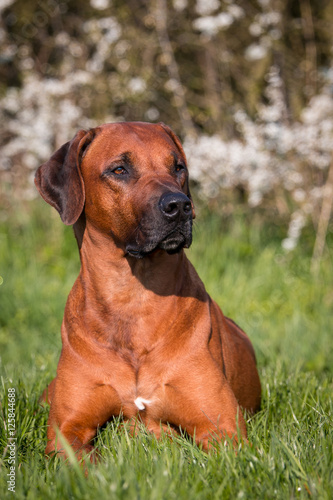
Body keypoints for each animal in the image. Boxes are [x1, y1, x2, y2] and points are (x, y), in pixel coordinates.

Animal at [35, 121, 260, 458]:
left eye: (178, 167)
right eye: (119, 169)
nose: (180, 205)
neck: (133, 298)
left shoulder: (224, 430)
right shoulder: (66, 430)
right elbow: (83, 460)